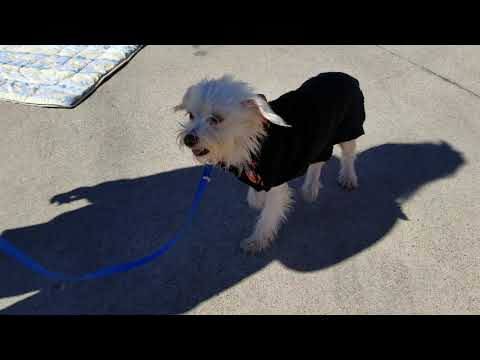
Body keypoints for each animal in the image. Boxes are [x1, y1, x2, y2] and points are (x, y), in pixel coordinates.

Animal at [174, 72, 366, 253]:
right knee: (318, 160)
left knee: (349, 155)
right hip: (321, 139)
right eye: (191, 115)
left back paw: (348, 178)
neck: (252, 140)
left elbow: (268, 215)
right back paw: (311, 188)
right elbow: (256, 198)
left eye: (216, 119)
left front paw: (257, 241)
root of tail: (344, 75)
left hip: (348, 129)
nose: (188, 139)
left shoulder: (276, 182)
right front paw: (257, 199)